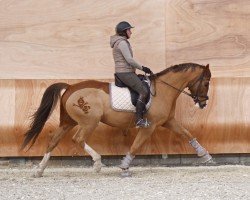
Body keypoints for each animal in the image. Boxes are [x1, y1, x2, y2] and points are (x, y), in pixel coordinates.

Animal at [21, 62, 213, 177]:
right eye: (206, 83)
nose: (203, 104)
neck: (163, 91)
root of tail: (70, 87)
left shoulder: (169, 121)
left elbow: (187, 134)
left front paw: (206, 156)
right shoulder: (149, 126)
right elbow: (136, 146)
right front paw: (125, 167)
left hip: (68, 122)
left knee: (53, 141)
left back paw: (39, 170)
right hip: (89, 122)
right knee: (78, 139)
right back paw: (98, 164)